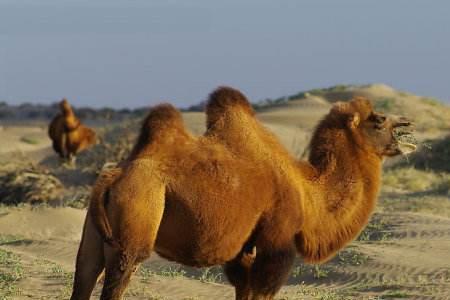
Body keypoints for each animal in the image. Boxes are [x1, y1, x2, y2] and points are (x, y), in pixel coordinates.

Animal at [68, 89, 416, 300]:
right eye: (378, 120)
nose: (409, 126)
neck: (307, 192)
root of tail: (112, 176)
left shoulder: (243, 250)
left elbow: (242, 286)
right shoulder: (277, 241)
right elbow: (263, 287)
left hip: (93, 233)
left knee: (84, 272)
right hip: (136, 220)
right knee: (120, 273)